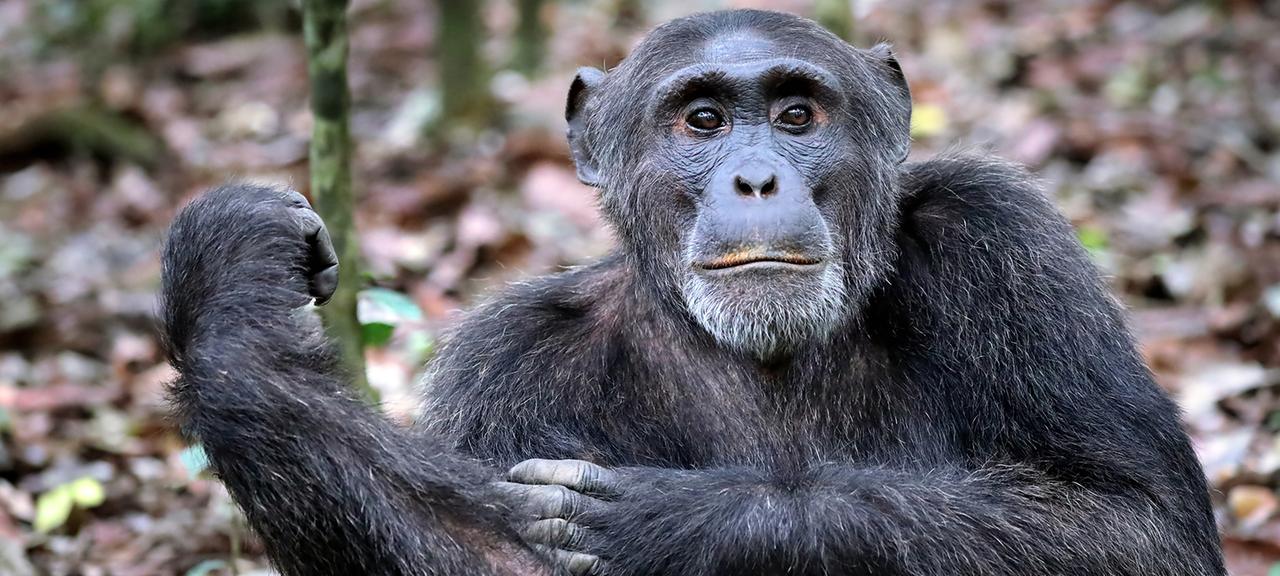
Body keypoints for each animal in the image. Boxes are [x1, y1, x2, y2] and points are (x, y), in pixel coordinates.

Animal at [157, 9, 1218, 576]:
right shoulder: (508, 365)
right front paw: (228, 295)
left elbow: (1131, 522)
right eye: (703, 120)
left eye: (797, 115)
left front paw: (694, 523)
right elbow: (485, 550)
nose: (754, 177)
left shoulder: (1000, 242)